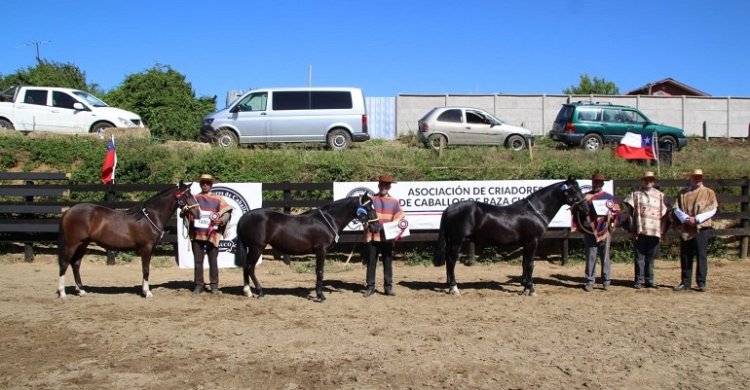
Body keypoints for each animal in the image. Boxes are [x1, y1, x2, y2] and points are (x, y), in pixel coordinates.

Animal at [57, 181, 201, 298]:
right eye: (187, 196)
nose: (198, 213)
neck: (151, 216)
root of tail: (68, 211)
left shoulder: (150, 249)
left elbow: (146, 269)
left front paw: (144, 290)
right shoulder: (146, 247)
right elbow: (146, 269)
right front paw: (147, 293)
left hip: (83, 244)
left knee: (76, 264)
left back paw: (81, 291)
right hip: (72, 243)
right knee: (64, 263)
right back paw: (62, 293)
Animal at [238, 194, 378, 302]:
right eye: (367, 206)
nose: (376, 227)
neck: (328, 220)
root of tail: (244, 217)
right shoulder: (321, 251)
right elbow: (320, 272)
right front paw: (320, 296)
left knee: (245, 267)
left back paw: (248, 292)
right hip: (256, 248)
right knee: (250, 268)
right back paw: (260, 292)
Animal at [434, 178, 588, 298]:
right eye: (573, 191)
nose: (586, 208)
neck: (535, 211)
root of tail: (449, 208)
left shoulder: (526, 243)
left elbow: (525, 264)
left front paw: (525, 287)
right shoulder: (532, 242)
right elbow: (530, 264)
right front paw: (531, 289)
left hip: (452, 242)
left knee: (448, 261)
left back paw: (449, 286)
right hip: (456, 242)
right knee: (452, 261)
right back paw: (454, 288)